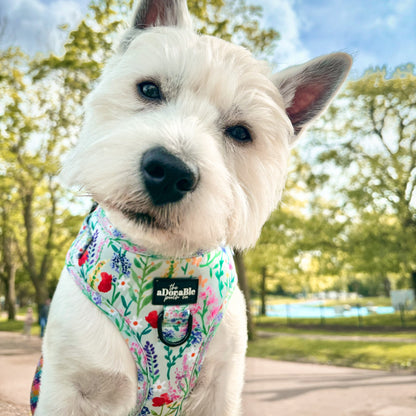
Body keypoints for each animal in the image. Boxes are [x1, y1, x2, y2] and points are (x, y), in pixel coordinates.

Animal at [32, 0, 352, 416]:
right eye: (149, 89)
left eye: (240, 132)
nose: (170, 172)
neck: (161, 264)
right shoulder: (69, 387)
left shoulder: (221, 389)